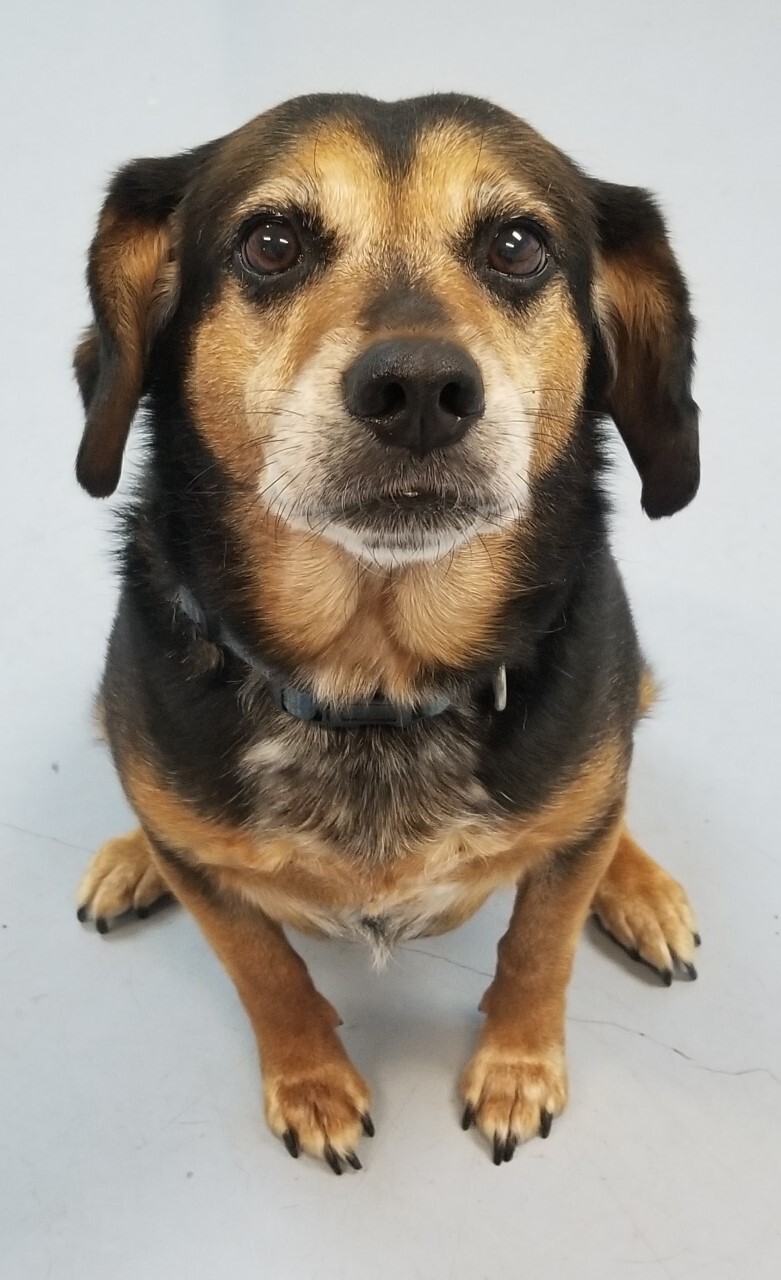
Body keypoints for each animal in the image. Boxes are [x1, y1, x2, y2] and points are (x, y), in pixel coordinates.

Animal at [72, 92, 701, 1172]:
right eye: (272, 243)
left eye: (516, 245)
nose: (416, 389)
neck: (374, 677)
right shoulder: (217, 884)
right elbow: (265, 970)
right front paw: (312, 1084)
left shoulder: (568, 821)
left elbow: (539, 944)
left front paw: (516, 1069)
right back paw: (132, 857)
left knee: (608, 793)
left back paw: (639, 887)